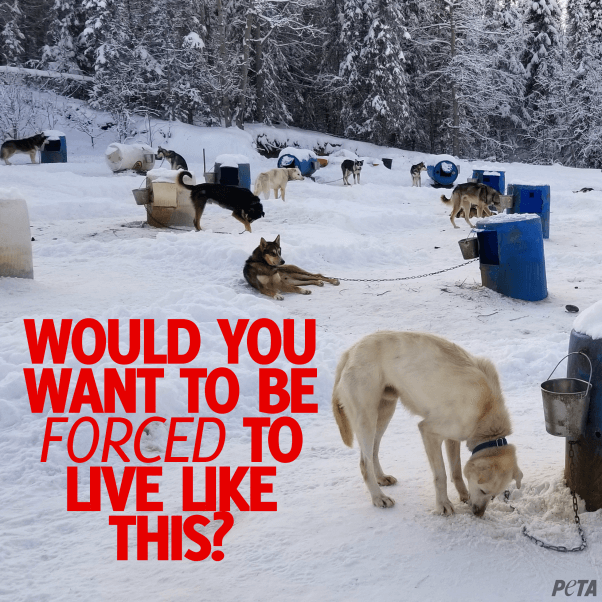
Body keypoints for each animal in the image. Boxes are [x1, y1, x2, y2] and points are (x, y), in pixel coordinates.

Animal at [330, 330, 524, 512]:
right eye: (483, 491)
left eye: (493, 496)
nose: (478, 514)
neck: (484, 411)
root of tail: (351, 350)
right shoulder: (428, 431)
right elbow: (441, 475)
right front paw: (444, 505)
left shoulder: (453, 437)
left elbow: (456, 471)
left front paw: (464, 495)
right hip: (367, 419)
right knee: (364, 463)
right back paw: (379, 497)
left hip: (385, 413)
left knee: (373, 452)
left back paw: (381, 478)